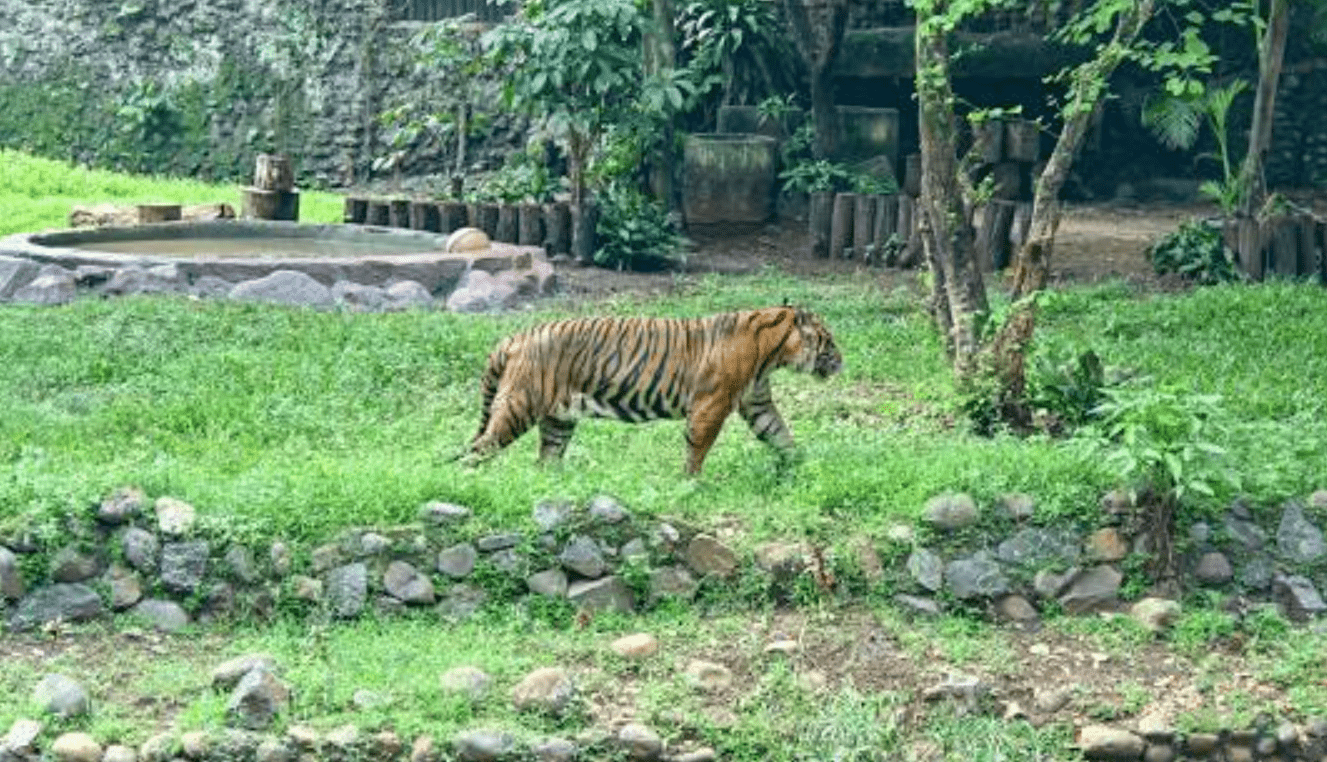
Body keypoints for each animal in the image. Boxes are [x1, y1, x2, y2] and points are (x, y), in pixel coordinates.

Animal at [467, 306, 838, 475]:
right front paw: (690, 482)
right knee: (481, 445)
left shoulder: (757, 402)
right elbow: (698, 447)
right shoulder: (711, 404)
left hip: (559, 418)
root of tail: (515, 337)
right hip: (520, 405)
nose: (841, 360)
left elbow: (779, 434)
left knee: (545, 459)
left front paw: (804, 466)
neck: (773, 354)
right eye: (829, 340)